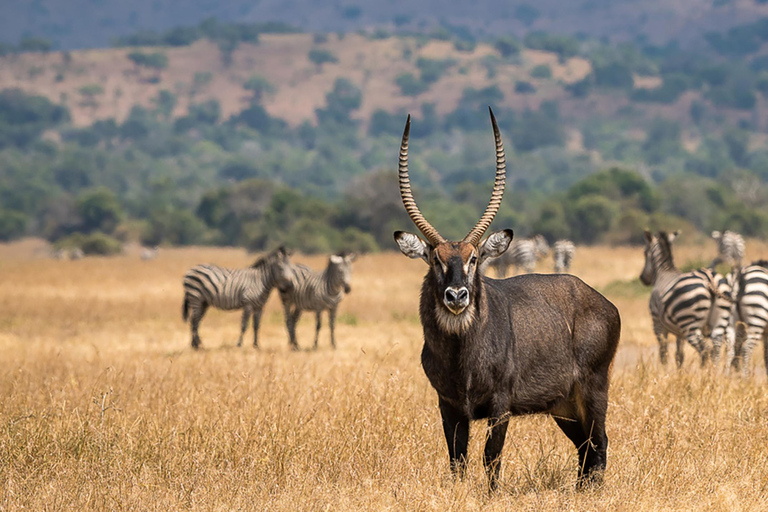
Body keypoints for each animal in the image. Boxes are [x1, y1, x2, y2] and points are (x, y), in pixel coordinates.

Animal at [640, 230, 732, 366]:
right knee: (717, 349)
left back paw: (704, 371)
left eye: (645, 253)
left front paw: (663, 369)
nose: (642, 278)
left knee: (705, 349)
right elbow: (679, 355)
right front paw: (679, 371)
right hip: (718, 319)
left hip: (689, 323)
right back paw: (713, 371)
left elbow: (663, 352)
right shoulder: (679, 332)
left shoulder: (657, 324)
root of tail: (710, 279)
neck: (664, 272)